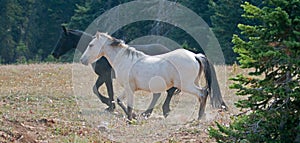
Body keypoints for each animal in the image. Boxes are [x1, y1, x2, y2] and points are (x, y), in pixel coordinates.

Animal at [79, 32, 211, 120]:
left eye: (91, 45)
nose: (82, 60)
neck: (124, 60)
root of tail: (195, 56)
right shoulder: (129, 88)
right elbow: (119, 100)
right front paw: (133, 116)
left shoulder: (128, 88)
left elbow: (127, 104)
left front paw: (130, 118)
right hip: (192, 83)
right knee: (201, 95)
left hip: (186, 85)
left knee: (202, 93)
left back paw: (199, 118)